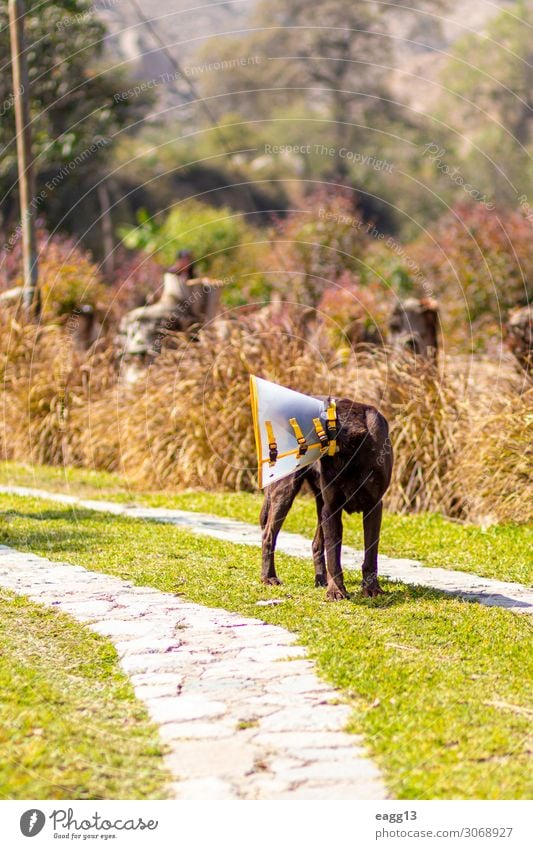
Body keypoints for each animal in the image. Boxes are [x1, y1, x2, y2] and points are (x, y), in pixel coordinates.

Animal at [260, 398, 392, 596]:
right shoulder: (331, 508)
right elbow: (333, 554)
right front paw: (336, 590)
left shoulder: (373, 506)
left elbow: (371, 552)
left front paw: (371, 589)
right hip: (285, 492)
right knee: (268, 535)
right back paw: (268, 577)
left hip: (318, 502)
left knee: (316, 543)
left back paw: (321, 579)